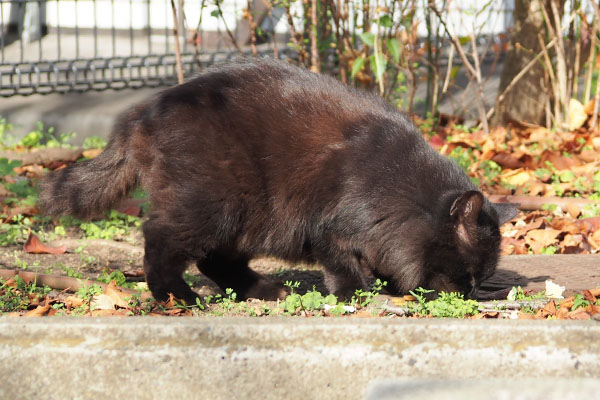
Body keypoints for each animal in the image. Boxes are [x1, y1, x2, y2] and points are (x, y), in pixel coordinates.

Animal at [37, 57, 516, 302]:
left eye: (483, 277)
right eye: (471, 272)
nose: (473, 293)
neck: (401, 192)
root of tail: (141, 114)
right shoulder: (332, 226)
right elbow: (343, 264)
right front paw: (356, 295)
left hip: (240, 217)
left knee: (216, 261)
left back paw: (266, 290)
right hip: (214, 202)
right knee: (160, 239)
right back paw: (179, 297)